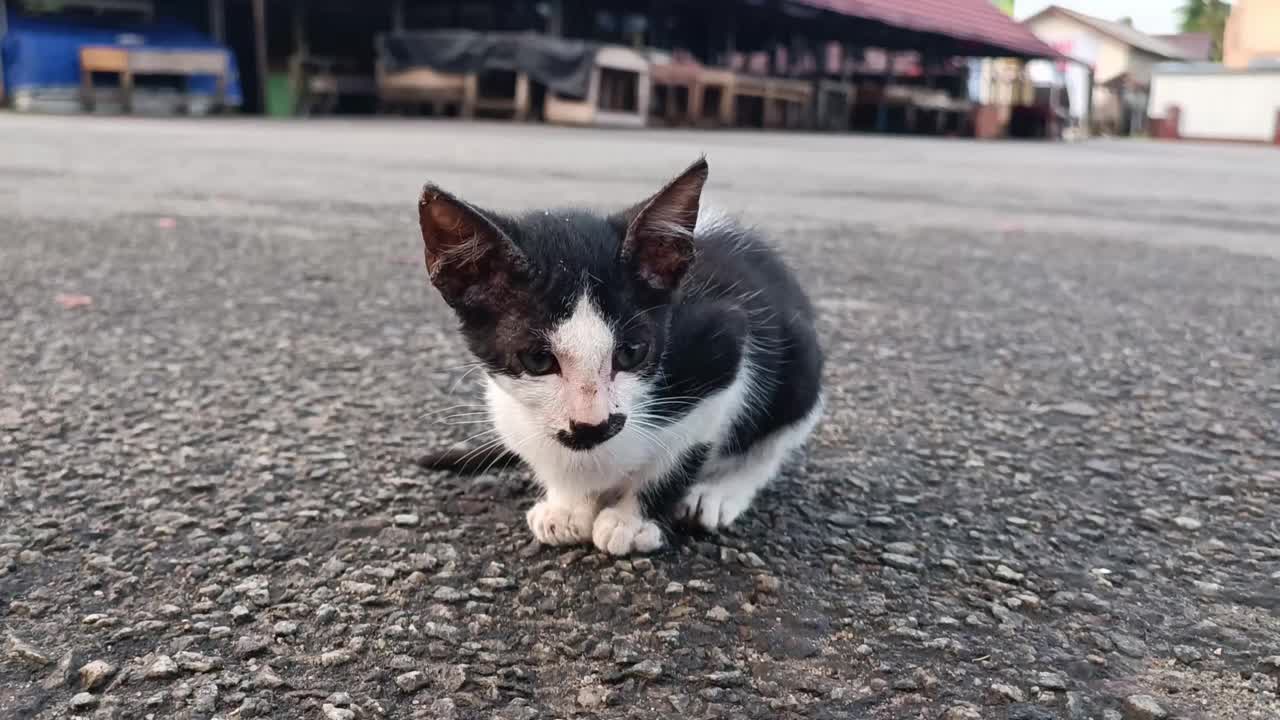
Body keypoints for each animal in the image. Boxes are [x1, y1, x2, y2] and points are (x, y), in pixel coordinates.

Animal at [414, 159, 824, 556]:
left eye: (631, 353)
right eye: (537, 361)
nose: (592, 425)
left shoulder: (723, 347)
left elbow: (682, 451)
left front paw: (632, 520)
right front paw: (568, 506)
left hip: (800, 366)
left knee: (771, 443)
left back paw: (720, 492)